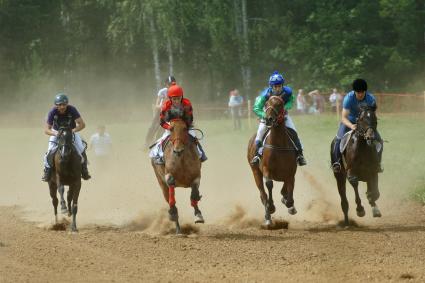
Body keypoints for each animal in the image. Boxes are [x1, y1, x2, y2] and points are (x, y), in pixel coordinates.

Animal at [247, 96, 296, 227]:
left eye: (280, 104)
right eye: (266, 103)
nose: (268, 119)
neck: (278, 144)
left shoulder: (291, 171)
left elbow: (289, 186)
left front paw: (289, 203)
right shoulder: (266, 169)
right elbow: (269, 184)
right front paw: (271, 206)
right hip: (255, 172)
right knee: (263, 194)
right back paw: (268, 218)